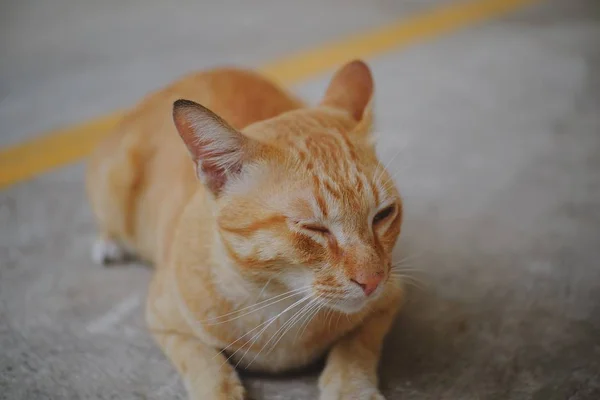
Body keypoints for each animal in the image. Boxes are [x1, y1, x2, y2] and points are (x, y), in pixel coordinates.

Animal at [86, 60, 404, 400]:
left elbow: (354, 348)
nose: (372, 281)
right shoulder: (164, 321)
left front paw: (350, 388)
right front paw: (221, 390)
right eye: (314, 228)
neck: (279, 302)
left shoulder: (388, 300)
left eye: (383, 215)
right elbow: (205, 363)